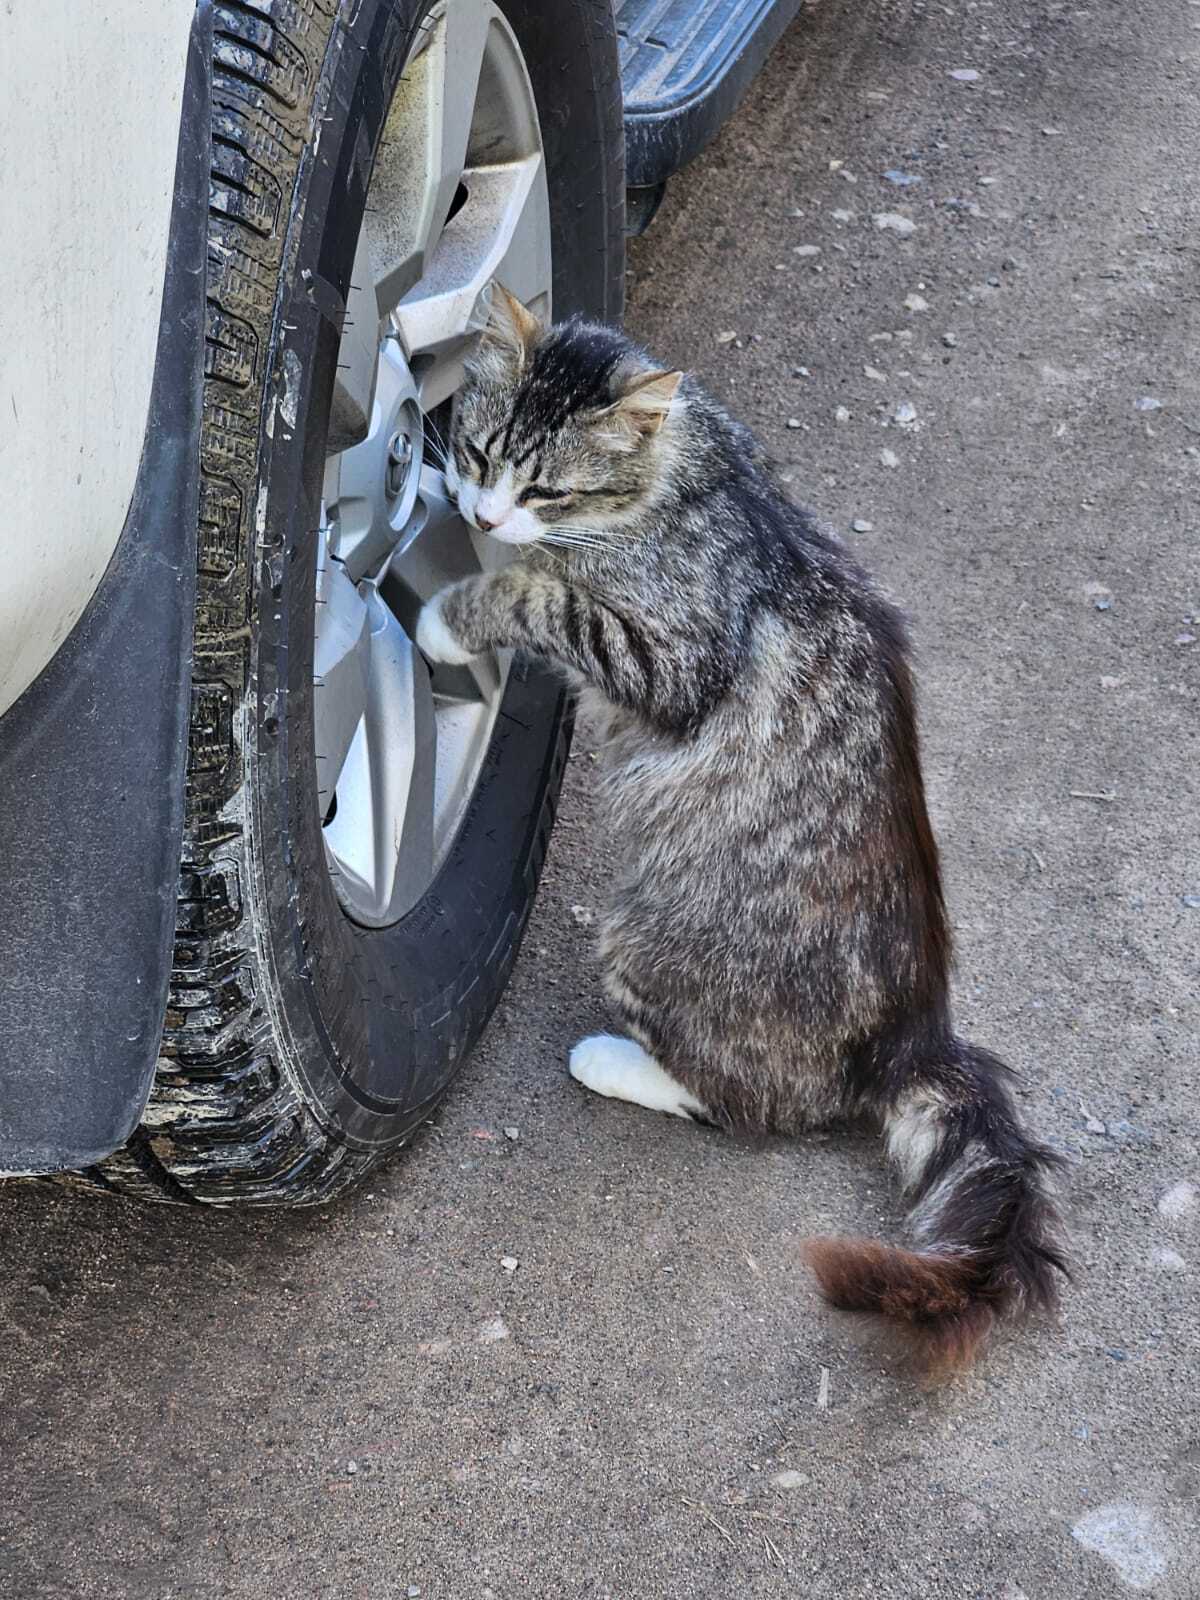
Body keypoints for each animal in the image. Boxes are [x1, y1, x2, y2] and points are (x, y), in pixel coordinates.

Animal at [416, 288, 1068, 1376]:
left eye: (548, 487)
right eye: (477, 449)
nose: (483, 511)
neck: (684, 476)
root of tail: (912, 1031)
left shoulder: (667, 655)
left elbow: (541, 593)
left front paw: (453, 608)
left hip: (646, 940)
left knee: (744, 1105)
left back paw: (616, 1062)